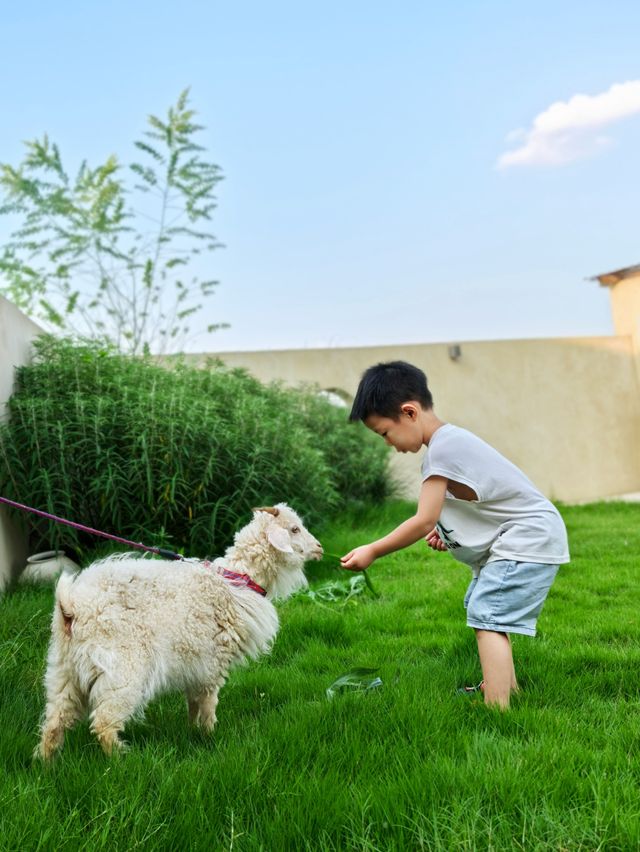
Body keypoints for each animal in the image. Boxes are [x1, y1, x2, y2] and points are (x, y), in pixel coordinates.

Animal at [37, 502, 322, 756]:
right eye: (294, 529)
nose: (320, 548)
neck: (238, 580)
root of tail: (71, 607)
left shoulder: (196, 666)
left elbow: (193, 703)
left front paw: (193, 732)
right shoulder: (212, 663)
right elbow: (207, 703)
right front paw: (209, 735)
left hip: (64, 671)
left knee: (54, 724)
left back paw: (47, 765)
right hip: (121, 670)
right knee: (104, 723)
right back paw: (121, 759)